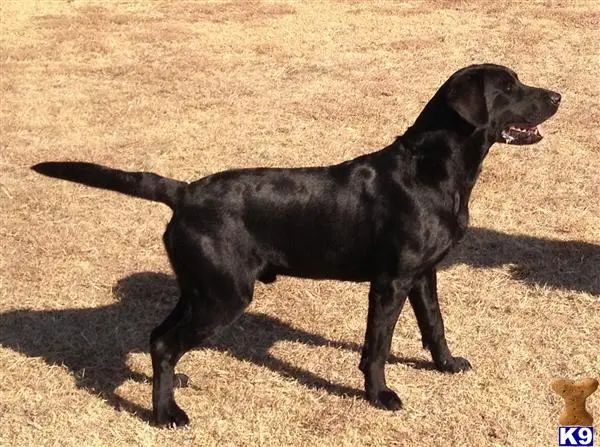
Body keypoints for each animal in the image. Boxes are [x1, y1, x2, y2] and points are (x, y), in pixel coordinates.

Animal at [32, 64, 564, 428]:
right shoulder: (389, 282)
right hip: (224, 295)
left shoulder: (424, 275)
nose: (558, 94)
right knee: (165, 342)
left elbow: (435, 326)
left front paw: (448, 365)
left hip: (200, 288)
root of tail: (184, 192)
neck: (431, 170)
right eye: (509, 89)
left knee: (158, 337)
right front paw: (380, 395)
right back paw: (167, 415)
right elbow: (377, 346)